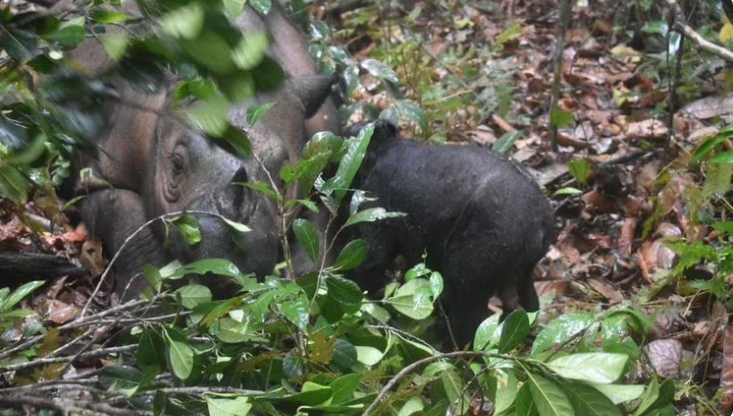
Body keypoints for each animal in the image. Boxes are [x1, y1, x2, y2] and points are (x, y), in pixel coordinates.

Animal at [340, 120, 552, 348]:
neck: (382, 149)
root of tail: (541, 220)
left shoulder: (373, 207)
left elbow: (369, 261)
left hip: (474, 266)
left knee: (468, 316)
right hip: (522, 272)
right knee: (526, 304)